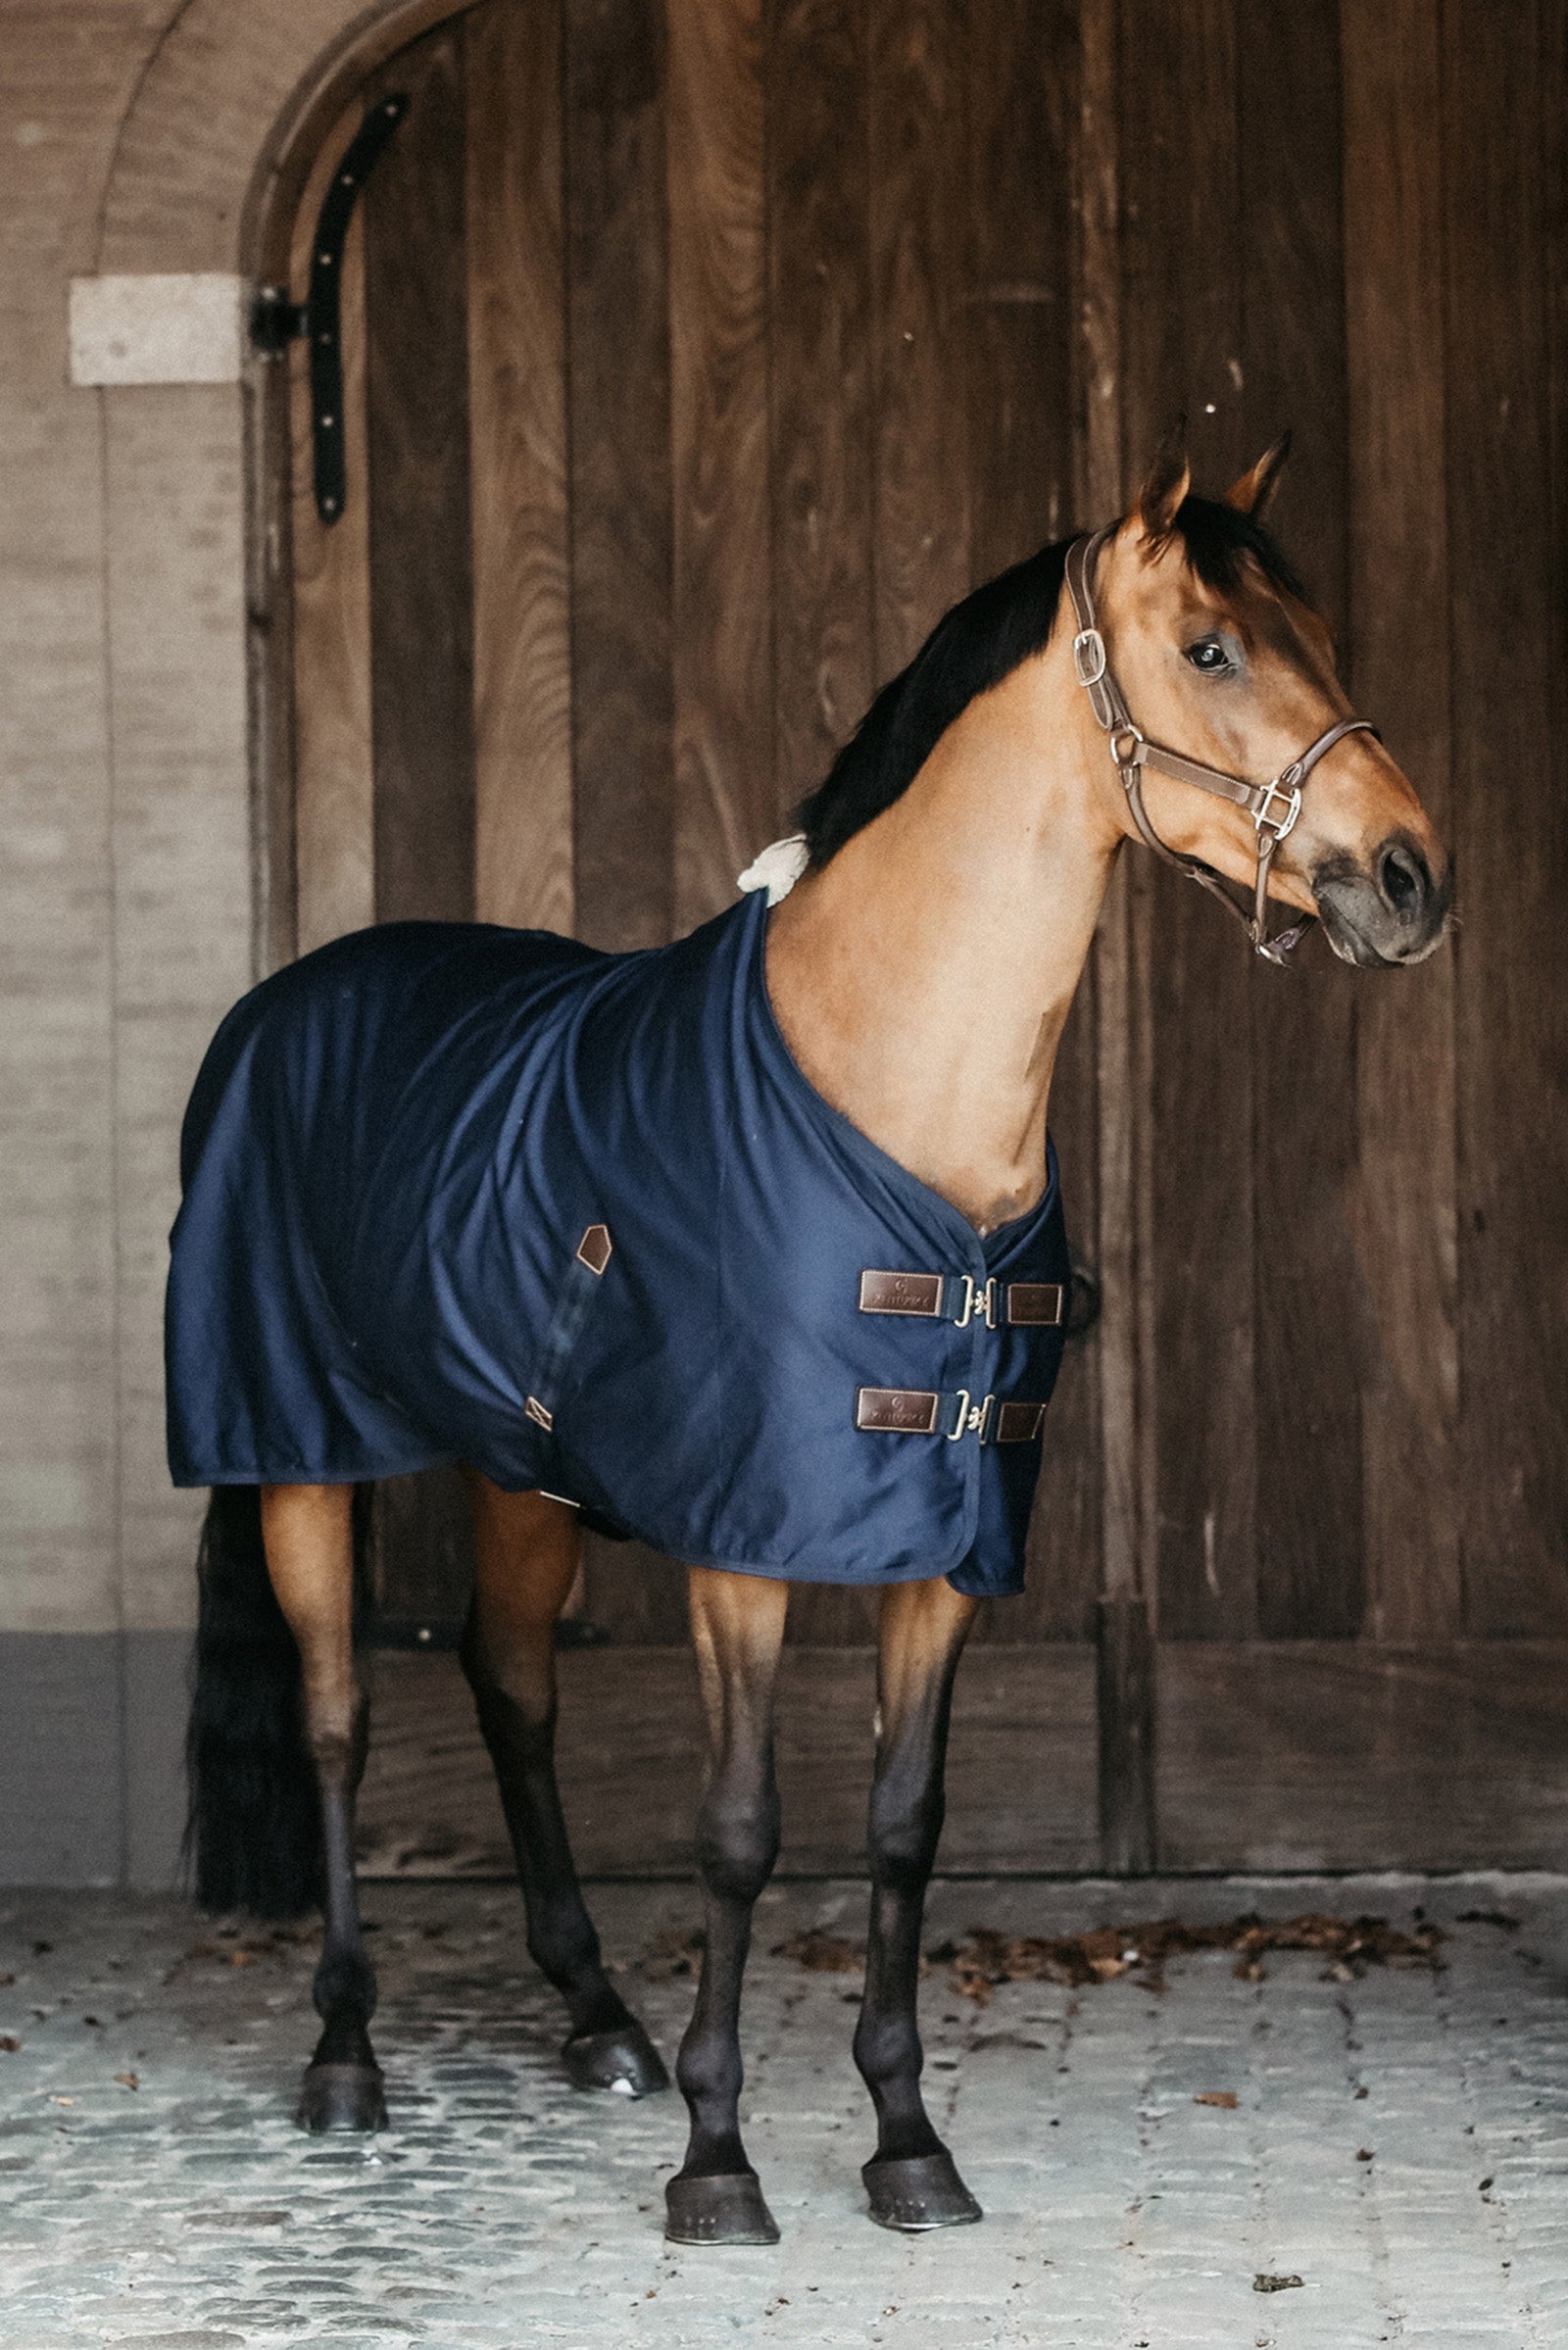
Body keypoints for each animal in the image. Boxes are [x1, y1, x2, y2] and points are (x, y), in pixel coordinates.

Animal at [173, 431, 1450, 2246]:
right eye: (1212, 648)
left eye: (1321, 635)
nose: (1412, 876)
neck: (889, 1077)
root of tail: (286, 999)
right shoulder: (742, 1548)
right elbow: (739, 1828)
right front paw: (718, 2158)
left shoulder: (951, 1551)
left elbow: (903, 1825)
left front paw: (907, 2138)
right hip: (301, 1460)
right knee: (341, 1720)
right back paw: (347, 2054)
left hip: (521, 1475)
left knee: (512, 1691)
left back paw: (597, 2018)